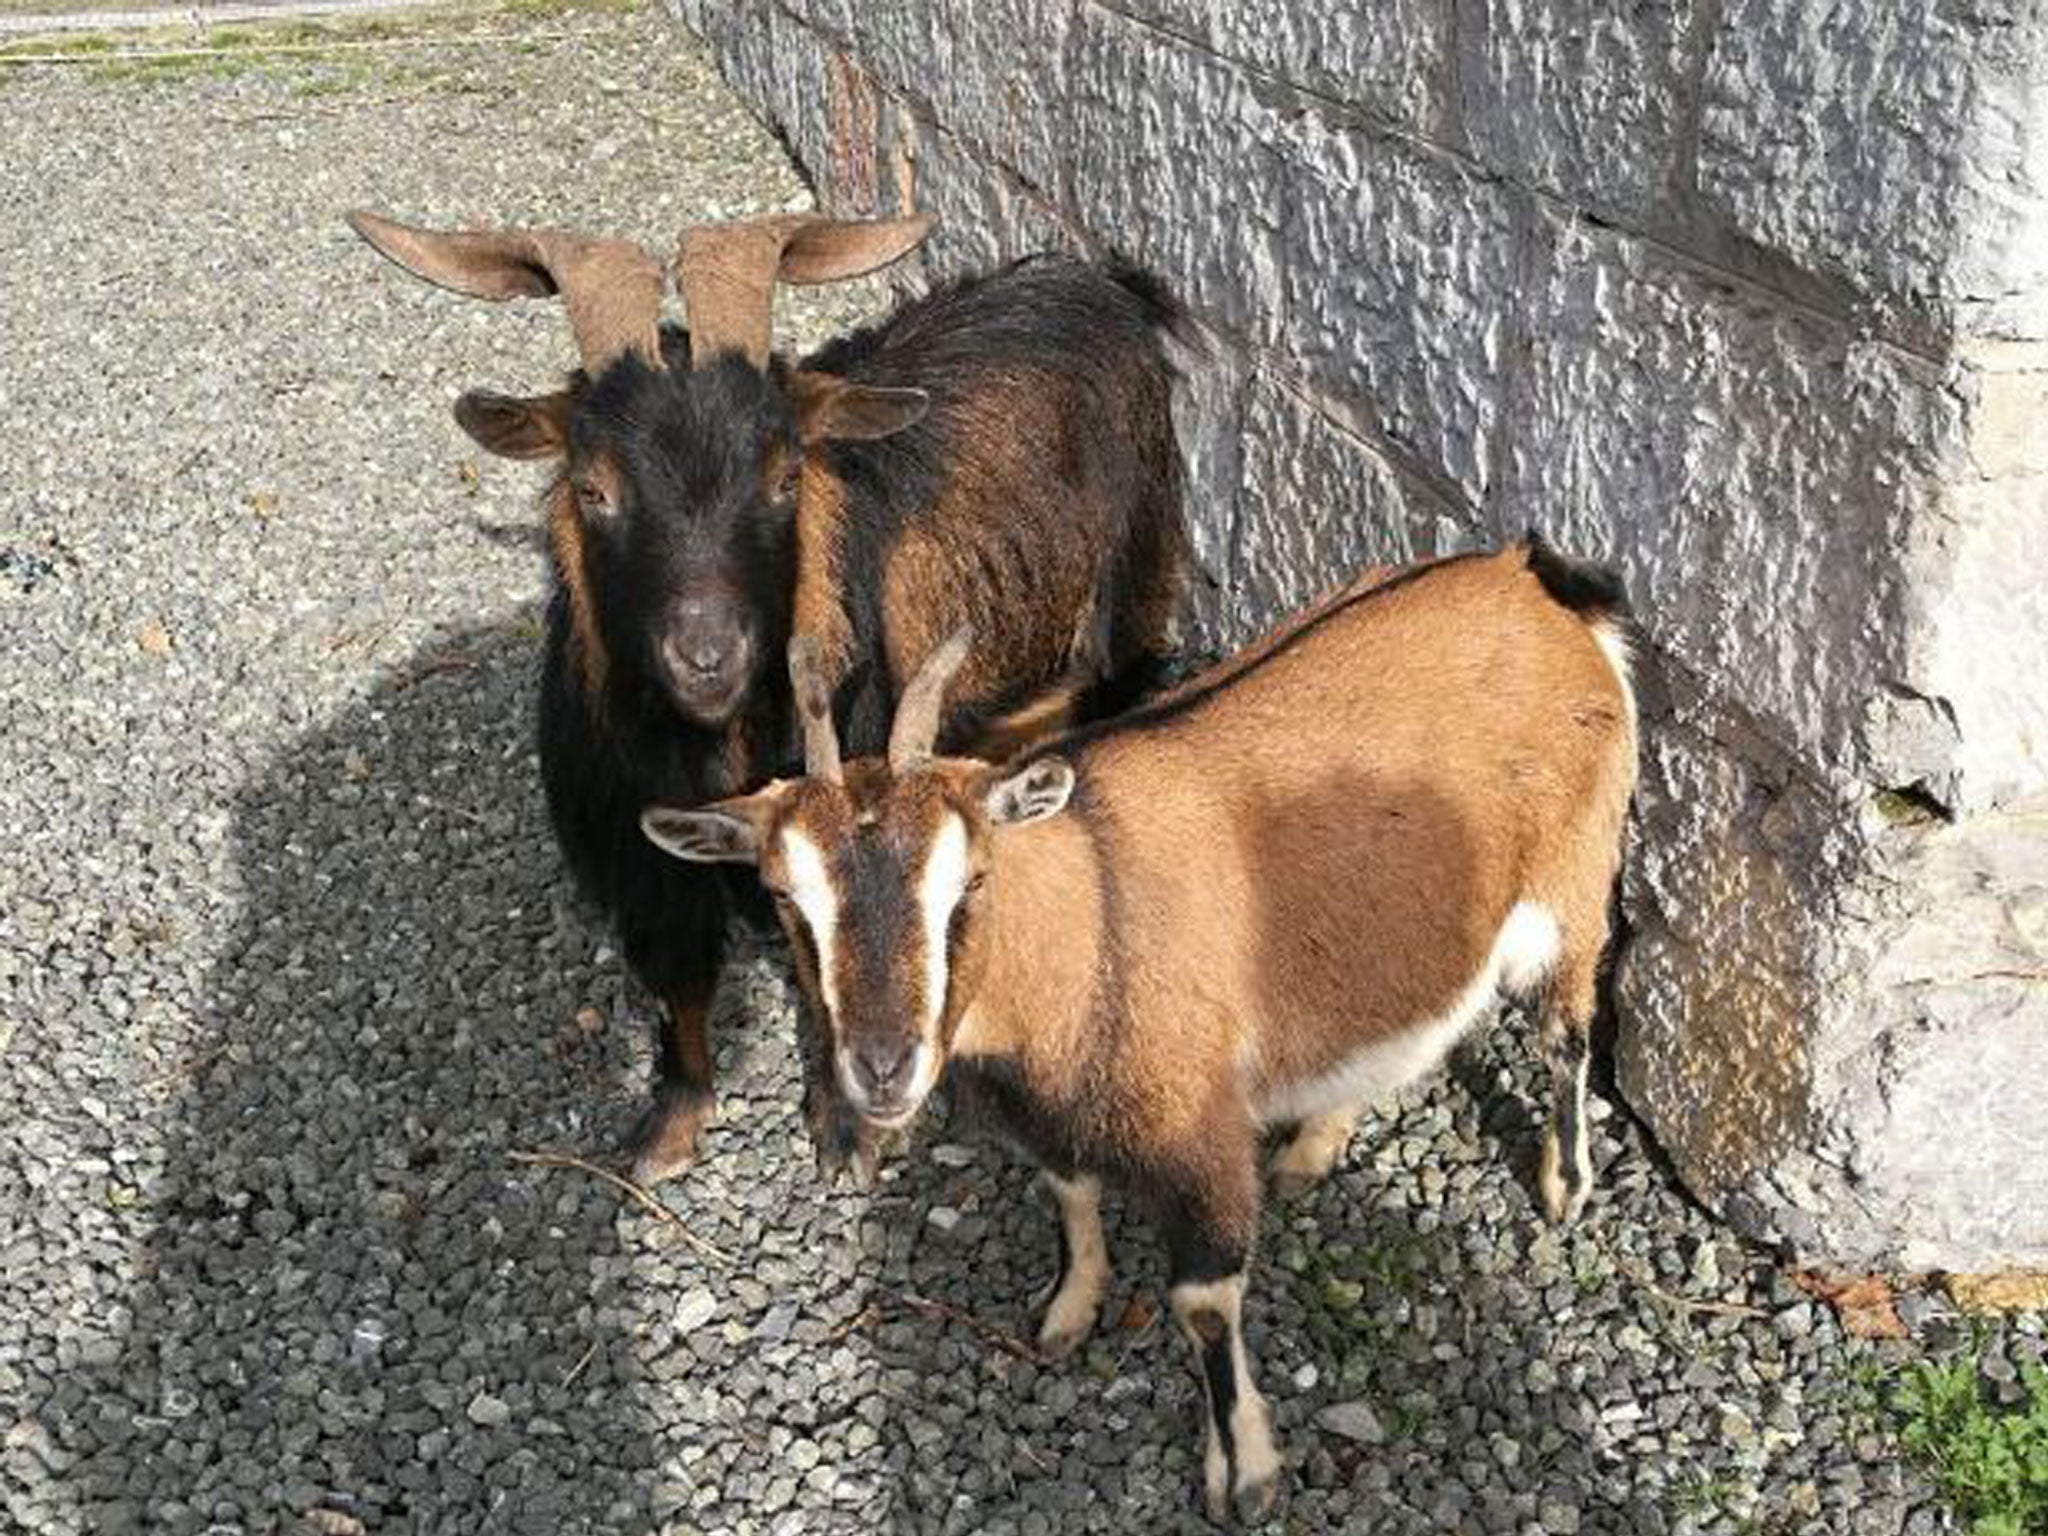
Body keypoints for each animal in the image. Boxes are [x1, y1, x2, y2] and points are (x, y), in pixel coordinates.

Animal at [647, 536, 1638, 1515]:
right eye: (784, 895)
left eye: (970, 880)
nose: (883, 1068)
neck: (1088, 919)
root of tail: (1539, 582)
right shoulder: (1055, 1115)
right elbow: (1071, 1196)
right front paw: (1069, 1312)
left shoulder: (1202, 1142)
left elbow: (1200, 1303)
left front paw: (1245, 1476)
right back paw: (1314, 1148)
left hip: (1571, 883)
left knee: (1565, 1032)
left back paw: (1566, 1184)